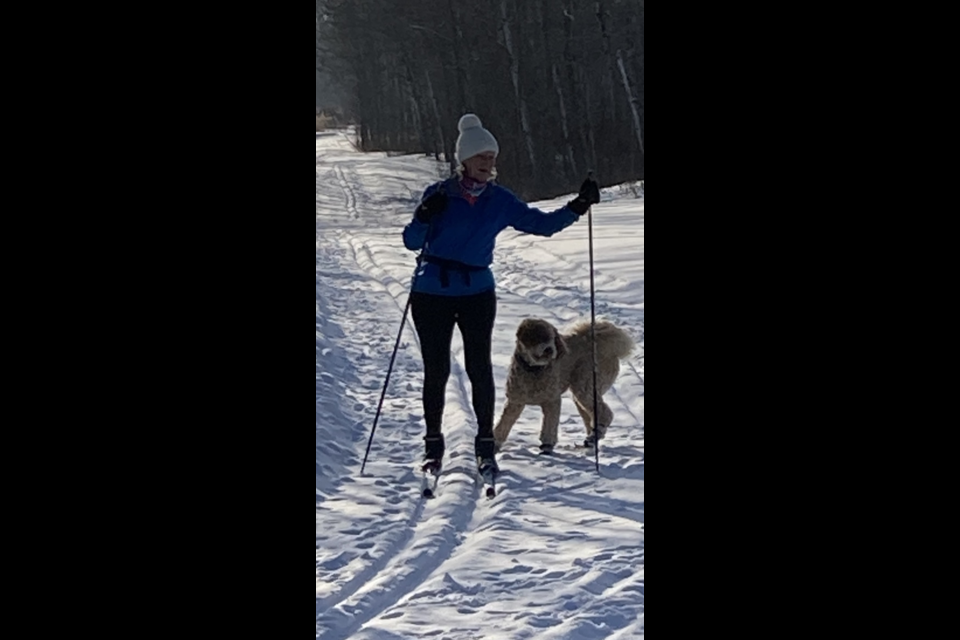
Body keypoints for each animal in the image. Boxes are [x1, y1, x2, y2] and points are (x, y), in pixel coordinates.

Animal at [492, 318, 632, 450]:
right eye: (537, 336)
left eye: (552, 337)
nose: (549, 349)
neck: (535, 370)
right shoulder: (515, 401)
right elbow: (503, 423)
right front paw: (495, 444)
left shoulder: (552, 400)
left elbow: (550, 424)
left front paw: (547, 445)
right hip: (582, 394)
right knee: (591, 416)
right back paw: (592, 439)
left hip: (585, 384)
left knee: (605, 413)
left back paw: (595, 434)